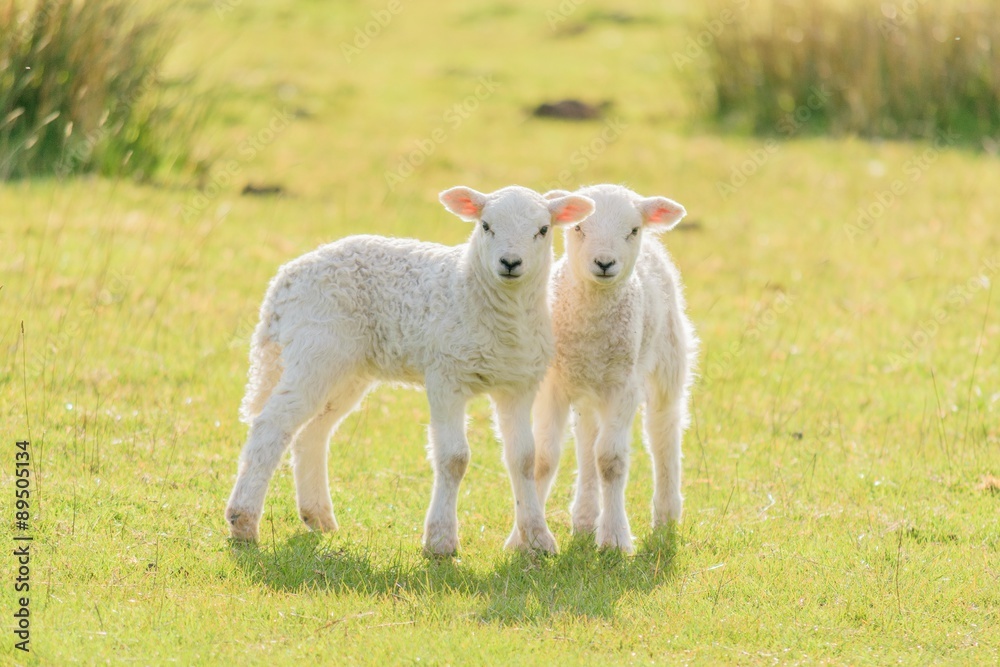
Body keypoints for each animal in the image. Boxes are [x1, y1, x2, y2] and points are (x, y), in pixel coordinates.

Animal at [224, 185, 596, 556]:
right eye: (486, 225)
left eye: (543, 230)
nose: (510, 263)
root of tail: (285, 278)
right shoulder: (446, 375)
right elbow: (454, 458)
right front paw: (441, 541)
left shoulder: (518, 384)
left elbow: (524, 459)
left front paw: (537, 540)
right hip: (315, 349)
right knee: (272, 424)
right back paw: (243, 522)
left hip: (347, 368)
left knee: (312, 433)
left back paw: (318, 517)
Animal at [528, 184, 698, 554]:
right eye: (578, 228)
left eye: (632, 230)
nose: (604, 262)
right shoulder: (553, 385)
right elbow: (544, 459)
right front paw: (525, 540)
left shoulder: (623, 386)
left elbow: (611, 461)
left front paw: (615, 539)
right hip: (588, 387)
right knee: (587, 439)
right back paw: (584, 517)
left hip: (667, 357)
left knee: (664, 430)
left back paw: (666, 514)